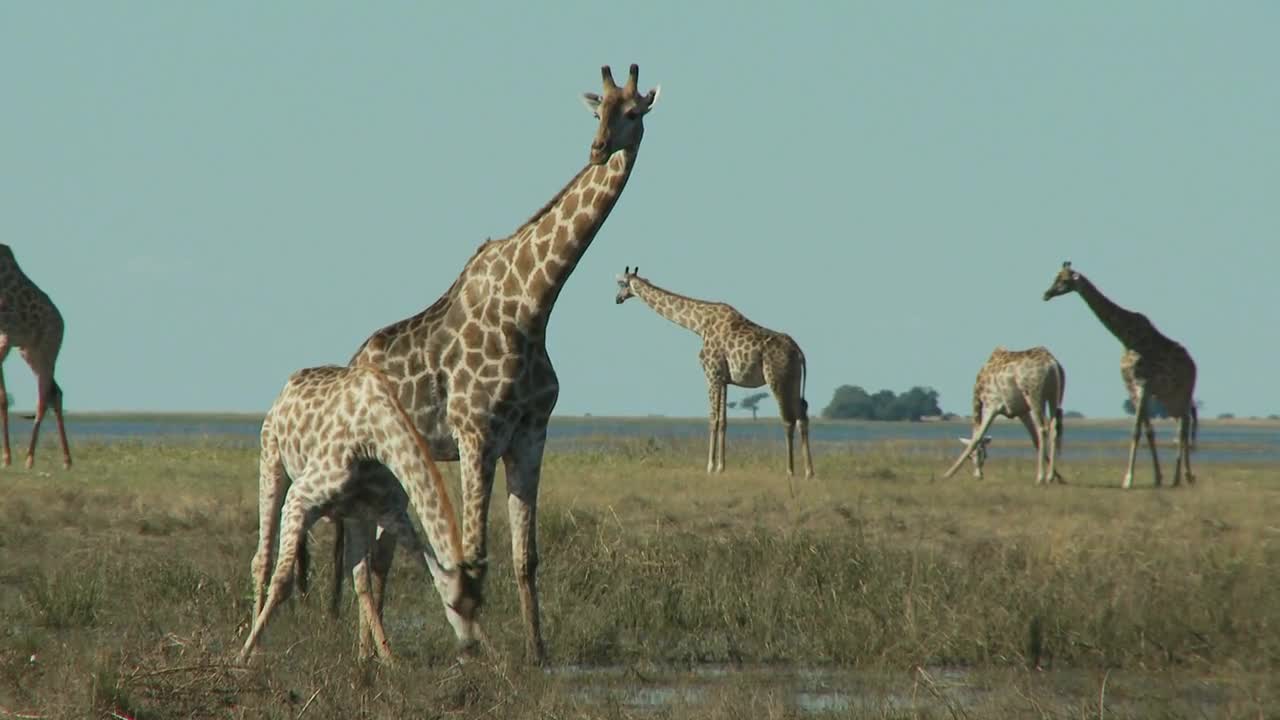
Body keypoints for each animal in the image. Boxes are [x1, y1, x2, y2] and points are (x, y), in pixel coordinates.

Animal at [0, 243, 71, 468]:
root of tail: (62, 323)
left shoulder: (7, 337)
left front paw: (8, 458)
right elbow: (3, 398)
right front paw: (6, 457)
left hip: (47, 350)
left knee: (43, 398)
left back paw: (30, 459)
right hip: (29, 352)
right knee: (55, 393)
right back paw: (66, 460)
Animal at [238, 363, 481, 661]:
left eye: (479, 604)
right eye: (453, 604)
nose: (470, 647)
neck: (375, 438)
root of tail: (285, 390)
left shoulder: (382, 510)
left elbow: (368, 579)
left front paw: (388, 659)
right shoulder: (300, 497)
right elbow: (282, 581)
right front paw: (242, 655)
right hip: (271, 461)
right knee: (261, 560)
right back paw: (256, 648)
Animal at [614, 263, 814, 476]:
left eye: (622, 284)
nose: (617, 298)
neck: (699, 324)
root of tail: (799, 352)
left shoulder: (712, 374)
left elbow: (713, 418)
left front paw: (710, 466)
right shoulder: (724, 379)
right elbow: (723, 421)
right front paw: (721, 466)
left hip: (776, 378)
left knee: (787, 419)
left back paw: (790, 471)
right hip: (793, 380)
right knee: (802, 416)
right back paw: (809, 472)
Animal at [1039, 260, 1198, 484]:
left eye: (1064, 280)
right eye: (1055, 276)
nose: (1046, 294)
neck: (1125, 337)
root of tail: (1194, 365)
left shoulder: (1142, 385)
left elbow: (1136, 431)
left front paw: (1128, 479)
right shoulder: (1132, 387)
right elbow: (1148, 431)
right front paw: (1157, 477)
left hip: (1183, 392)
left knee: (1184, 425)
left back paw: (1182, 477)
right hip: (1169, 397)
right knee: (1182, 423)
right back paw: (1181, 477)